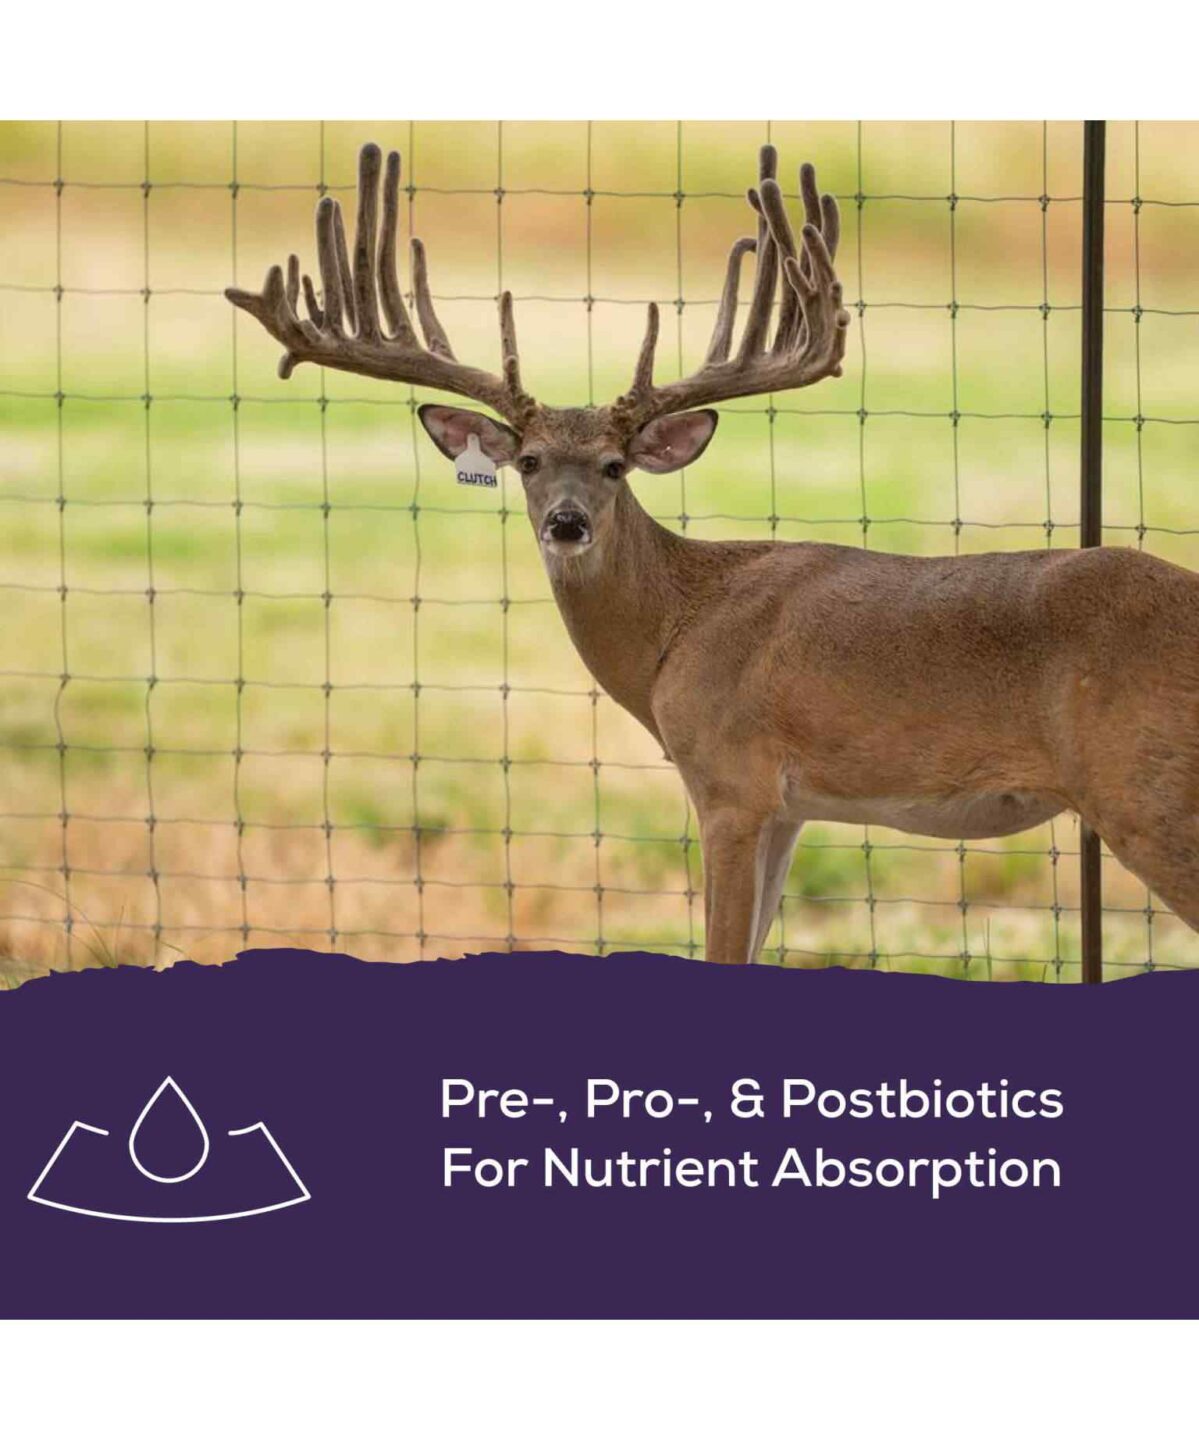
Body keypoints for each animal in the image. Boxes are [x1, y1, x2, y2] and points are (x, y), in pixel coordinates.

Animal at [227, 141, 1199, 965]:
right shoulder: (792, 807)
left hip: (1149, 790)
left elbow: (725, 950)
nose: (567, 524)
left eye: (614, 465)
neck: (675, 630)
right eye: (530, 462)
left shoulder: (730, 779)